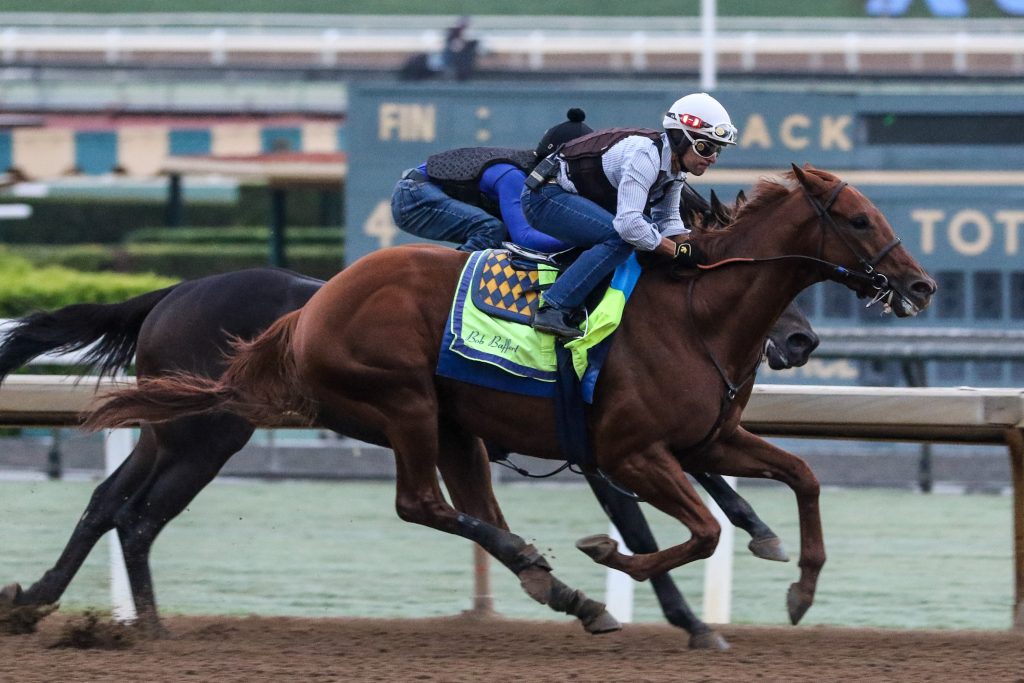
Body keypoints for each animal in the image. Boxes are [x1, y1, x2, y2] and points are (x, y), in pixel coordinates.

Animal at [0, 270, 815, 651]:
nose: (799, 340)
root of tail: (174, 291)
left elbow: (707, 477)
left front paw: (759, 532)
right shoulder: (602, 452)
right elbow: (648, 528)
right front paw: (691, 620)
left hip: (174, 430)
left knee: (110, 502)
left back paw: (44, 600)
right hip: (205, 435)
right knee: (136, 515)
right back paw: (136, 623)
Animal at [83, 166, 937, 634]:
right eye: (858, 218)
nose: (922, 284)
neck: (697, 311)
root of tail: (312, 308)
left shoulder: (706, 439)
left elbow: (801, 476)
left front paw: (798, 584)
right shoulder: (626, 450)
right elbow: (695, 532)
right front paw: (618, 564)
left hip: (447, 425)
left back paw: (555, 584)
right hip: (398, 404)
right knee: (421, 503)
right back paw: (547, 571)